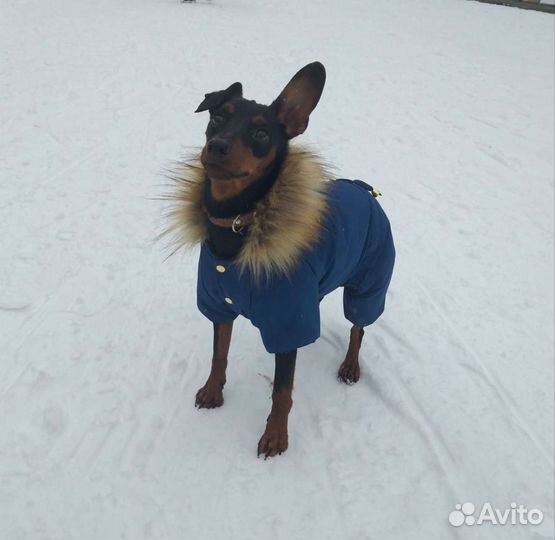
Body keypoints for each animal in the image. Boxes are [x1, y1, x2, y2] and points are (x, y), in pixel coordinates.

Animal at [165, 63, 396, 460]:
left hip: (370, 282)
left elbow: (282, 391)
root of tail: (366, 190)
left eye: (260, 132)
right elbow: (218, 354)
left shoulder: (288, 323)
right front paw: (213, 391)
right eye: (217, 117)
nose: (217, 146)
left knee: (359, 327)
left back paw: (350, 365)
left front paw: (275, 436)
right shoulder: (219, 304)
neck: (237, 225)